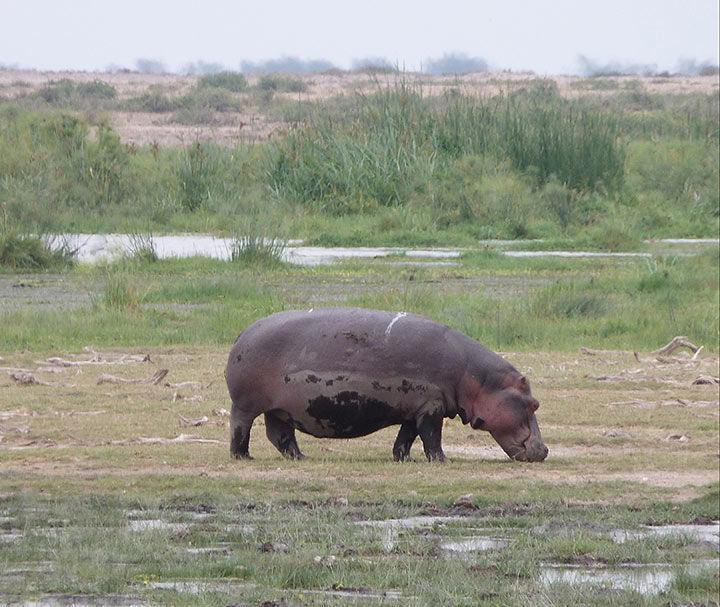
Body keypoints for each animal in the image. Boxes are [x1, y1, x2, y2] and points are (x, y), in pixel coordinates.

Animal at [225, 308, 548, 463]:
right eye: (534, 404)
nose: (545, 450)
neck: (475, 378)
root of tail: (243, 334)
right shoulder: (431, 407)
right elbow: (432, 437)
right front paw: (443, 461)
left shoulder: (417, 409)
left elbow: (406, 437)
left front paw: (402, 459)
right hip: (245, 405)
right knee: (241, 429)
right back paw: (243, 456)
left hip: (279, 409)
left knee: (280, 435)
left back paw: (301, 457)